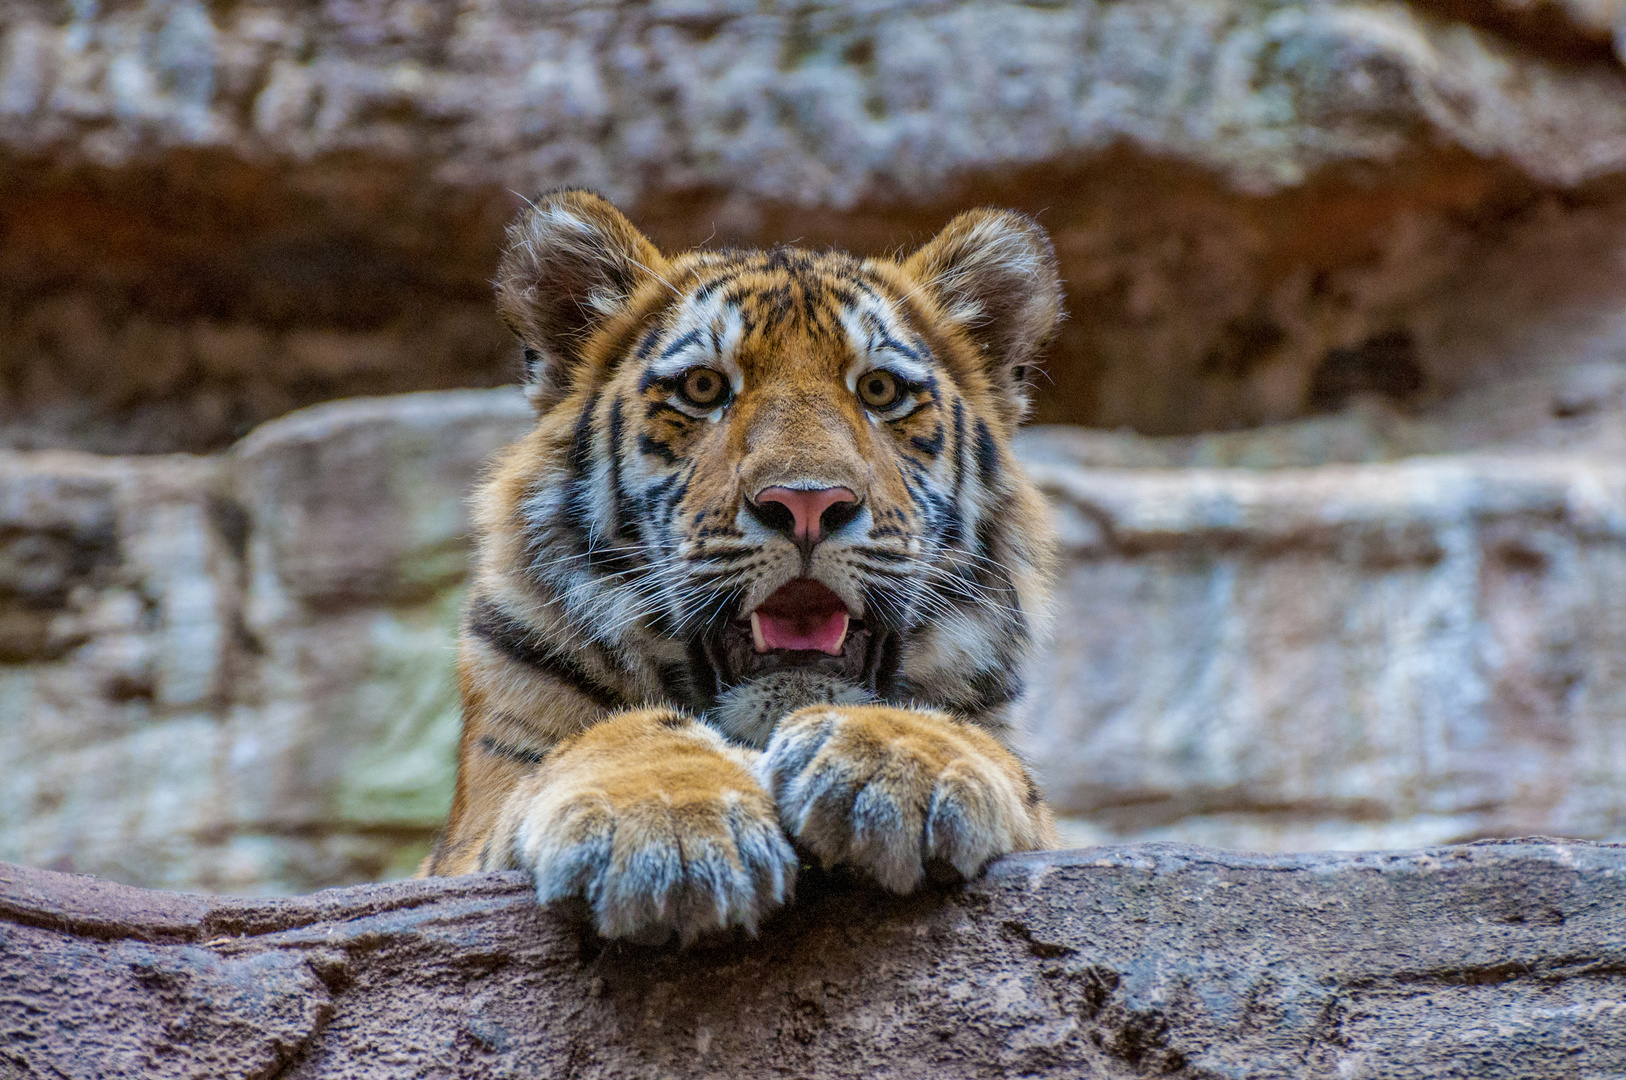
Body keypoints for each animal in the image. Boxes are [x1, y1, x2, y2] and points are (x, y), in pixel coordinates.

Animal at [422, 189, 1066, 943]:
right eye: (704, 388)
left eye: (879, 391)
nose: (808, 502)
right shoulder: (470, 831)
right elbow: (617, 731)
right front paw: (670, 824)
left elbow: (1000, 759)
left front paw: (896, 761)